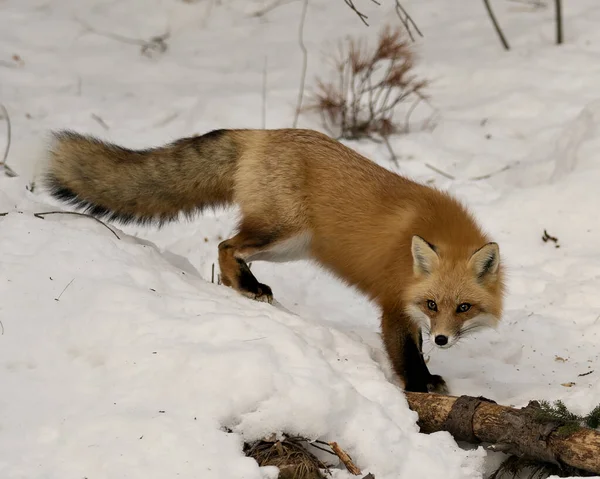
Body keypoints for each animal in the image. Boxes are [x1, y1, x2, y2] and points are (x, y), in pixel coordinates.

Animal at [42, 127, 504, 394]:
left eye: (463, 308)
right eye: (432, 304)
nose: (442, 339)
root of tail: (262, 131)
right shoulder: (394, 302)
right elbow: (405, 352)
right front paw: (420, 386)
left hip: (291, 247)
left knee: (228, 247)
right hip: (282, 233)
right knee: (226, 246)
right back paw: (247, 286)